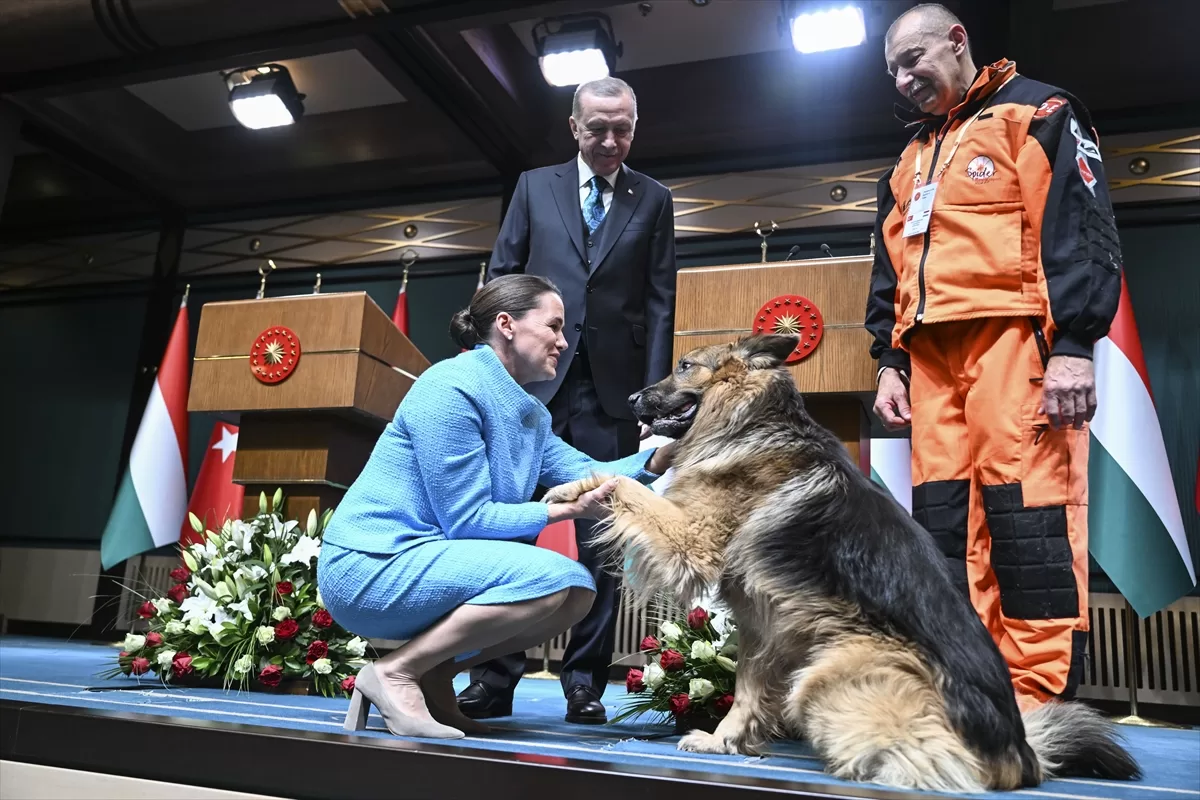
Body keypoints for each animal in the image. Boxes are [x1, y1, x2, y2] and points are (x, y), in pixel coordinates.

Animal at [544, 335, 1142, 796]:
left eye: (685, 366)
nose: (630, 396)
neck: (750, 421)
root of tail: (1020, 751)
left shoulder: (694, 544)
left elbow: (621, 483)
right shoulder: (763, 622)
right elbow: (749, 688)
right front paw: (725, 742)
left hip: (829, 671)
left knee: (939, 763)